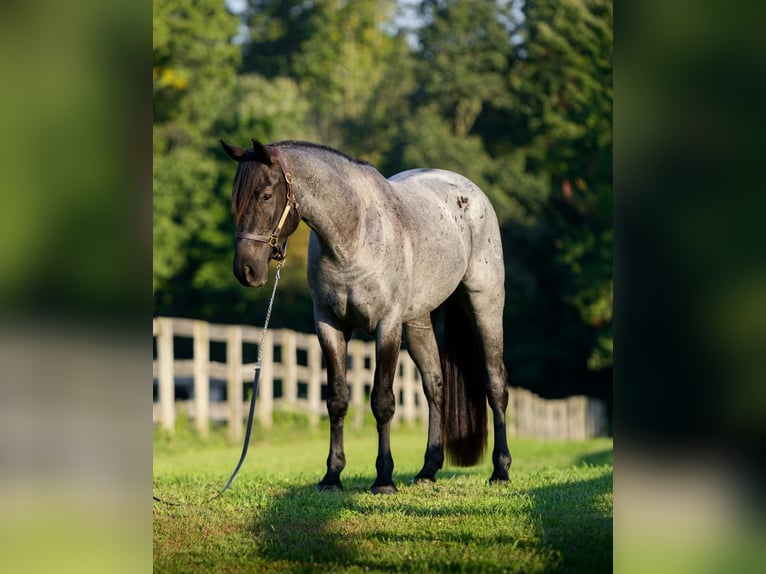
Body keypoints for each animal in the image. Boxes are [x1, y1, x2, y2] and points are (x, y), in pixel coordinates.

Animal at [221, 138, 511, 493]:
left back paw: (500, 470)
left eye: (265, 195)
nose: (246, 270)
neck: (353, 234)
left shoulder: (386, 327)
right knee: (435, 386)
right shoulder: (329, 327)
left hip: (485, 305)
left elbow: (382, 402)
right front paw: (332, 476)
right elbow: (337, 400)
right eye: (235, 199)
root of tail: (470, 191)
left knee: (495, 383)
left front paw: (383, 478)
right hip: (417, 322)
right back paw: (428, 470)